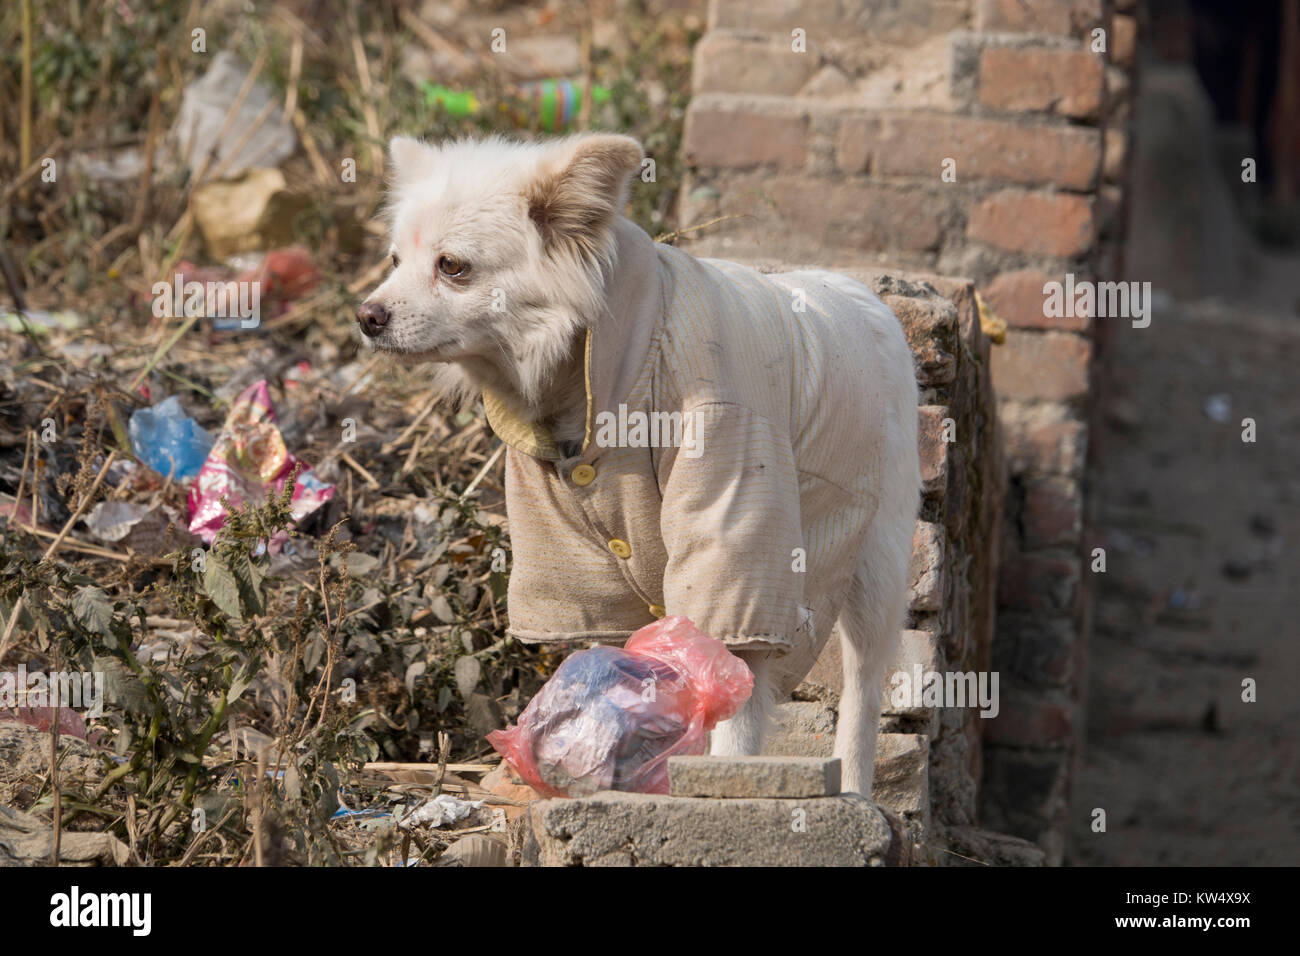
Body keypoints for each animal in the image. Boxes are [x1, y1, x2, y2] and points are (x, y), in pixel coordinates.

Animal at [361, 132, 920, 790]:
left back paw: (855, 787)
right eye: (394, 260)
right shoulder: (578, 557)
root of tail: (866, 296)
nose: (365, 316)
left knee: (863, 689)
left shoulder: (735, 540)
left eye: (452, 267)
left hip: (876, 567)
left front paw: (724, 784)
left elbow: (737, 695)